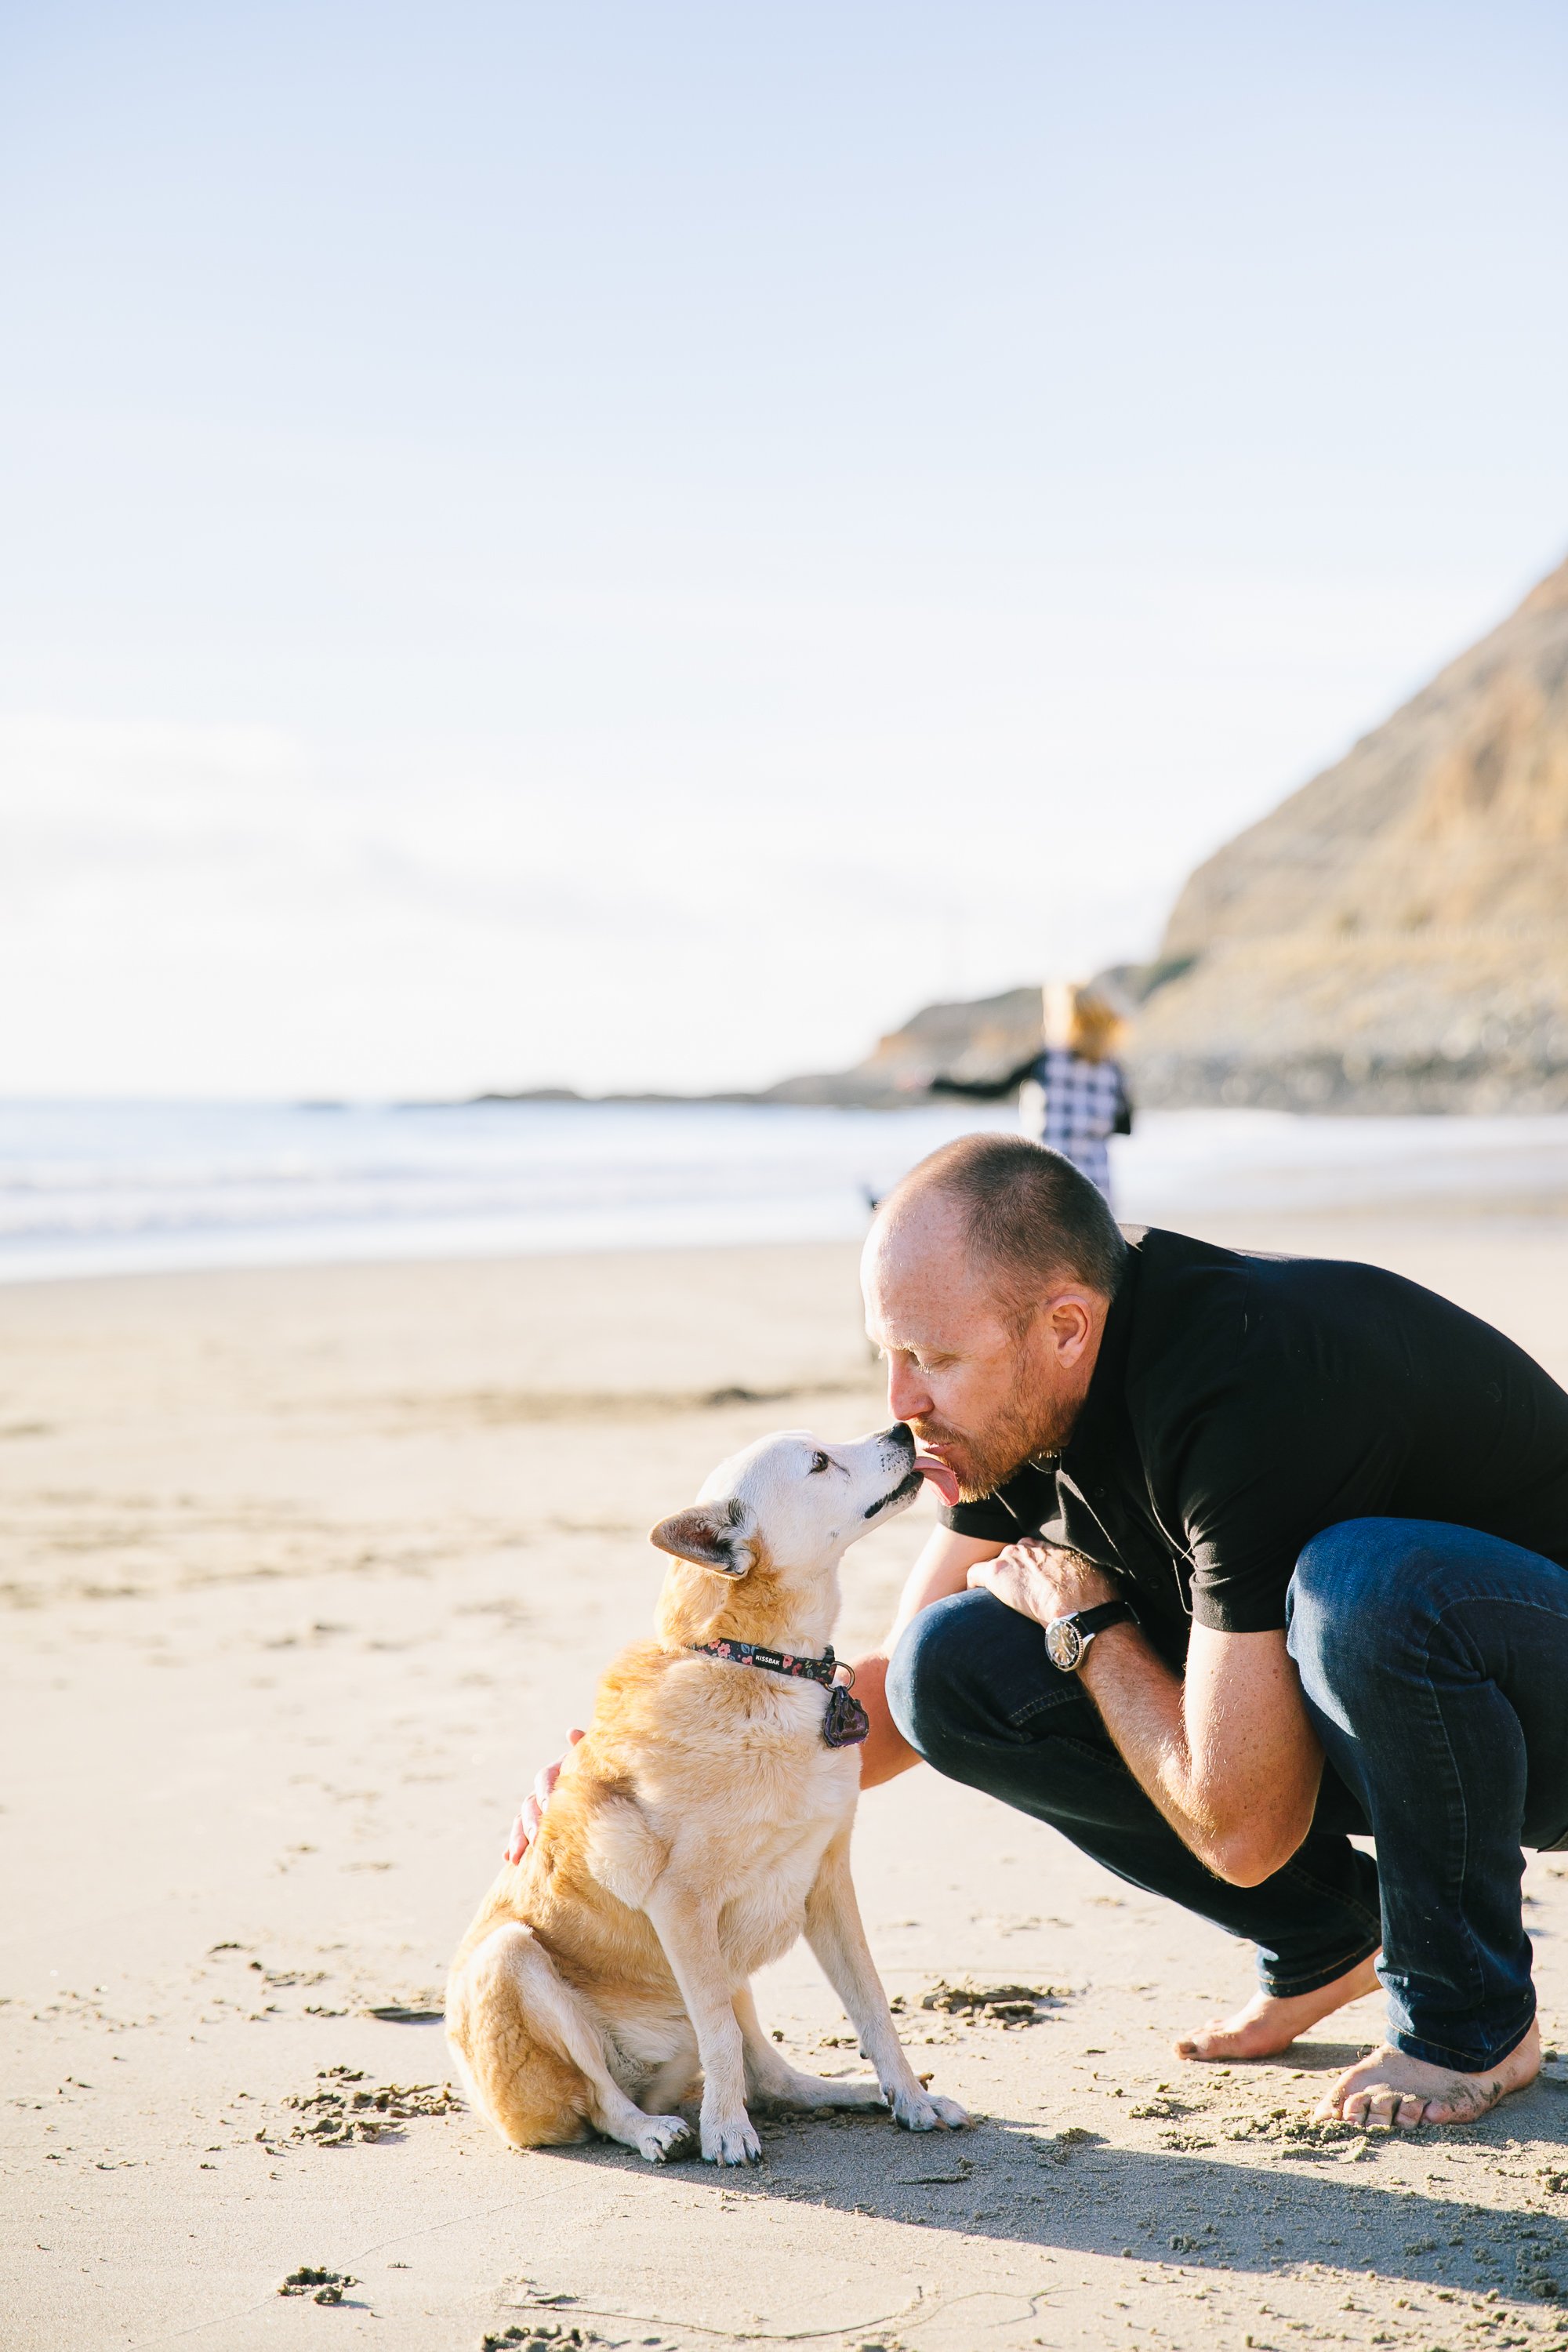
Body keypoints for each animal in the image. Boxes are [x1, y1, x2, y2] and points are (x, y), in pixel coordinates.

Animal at [444, 1411, 968, 2164]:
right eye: (819, 1462)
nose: (902, 1428)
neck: (760, 1665)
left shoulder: (828, 1884)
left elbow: (873, 2008)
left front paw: (911, 2098)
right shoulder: (682, 1905)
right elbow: (716, 2030)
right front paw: (725, 2131)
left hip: (732, 1980)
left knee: (773, 2077)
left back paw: (853, 2092)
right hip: (511, 1960)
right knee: (602, 2101)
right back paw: (655, 2128)